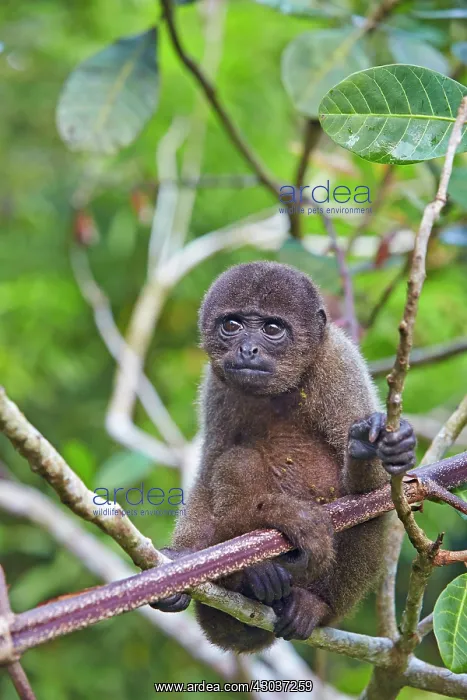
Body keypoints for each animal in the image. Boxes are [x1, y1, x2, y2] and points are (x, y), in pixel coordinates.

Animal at [151, 262, 416, 653]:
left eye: (272, 329)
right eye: (232, 325)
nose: (247, 349)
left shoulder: (340, 365)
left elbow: (377, 494)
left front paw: (371, 447)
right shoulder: (216, 386)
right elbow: (209, 468)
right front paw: (182, 563)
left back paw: (312, 604)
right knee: (235, 459)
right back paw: (255, 574)